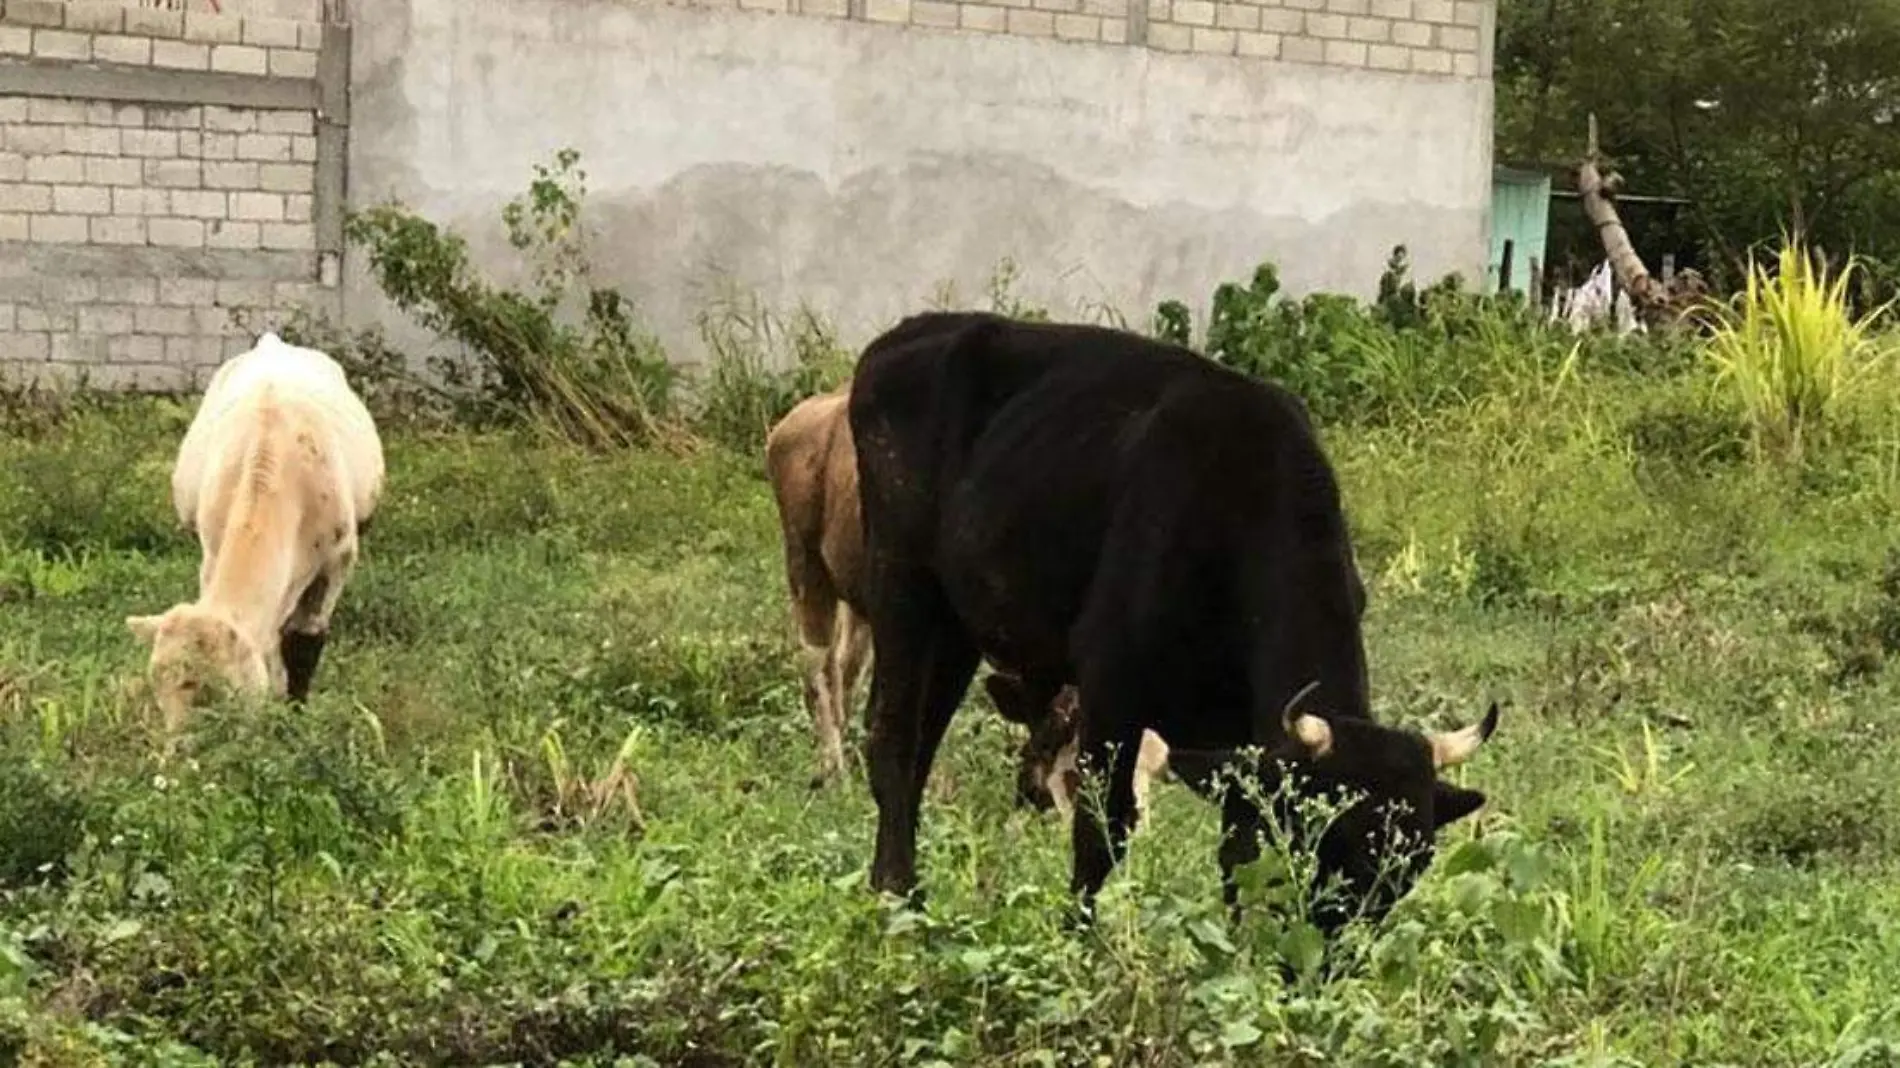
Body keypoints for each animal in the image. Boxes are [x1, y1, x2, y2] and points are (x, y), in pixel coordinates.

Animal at [127, 334, 385, 729]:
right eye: (157, 687)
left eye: (212, 688)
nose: (179, 743)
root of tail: (273, 343)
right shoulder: (210, 553)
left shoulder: (337, 559)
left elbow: (305, 642)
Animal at [847, 309, 1497, 938]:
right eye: (1325, 840)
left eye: (1406, 871)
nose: (1327, 959)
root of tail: (900, 337)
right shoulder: (1111, 689)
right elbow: (1102, 829)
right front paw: (1078, 939)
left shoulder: (1249, 747)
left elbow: (1239, 851)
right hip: (901, 587)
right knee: (892, 738)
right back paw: (896, 893)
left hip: (956, 627)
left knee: (921, 746)